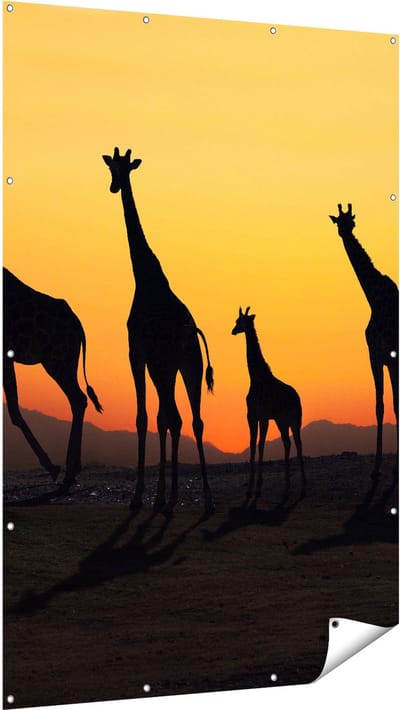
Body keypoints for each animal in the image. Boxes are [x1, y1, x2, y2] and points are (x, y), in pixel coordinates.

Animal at [3, 267, 103, 486]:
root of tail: (78, 326)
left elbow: (14, 411)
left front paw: (51, 466)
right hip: (65, 362)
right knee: (78, 399)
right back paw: (74, 467)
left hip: (57, 361)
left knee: (78, 398)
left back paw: (69, 469)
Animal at [102, 146, 214, 513]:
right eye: (112, 167)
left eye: (123, 168)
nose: (114, 186)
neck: (143, 276)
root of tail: (190, 332)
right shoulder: (155, 361)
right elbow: (160, 418)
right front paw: (157, 494)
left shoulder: (136, 353)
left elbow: (143, 418)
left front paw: (139, 496)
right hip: (187, 365)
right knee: (191, 419)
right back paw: (201, 498)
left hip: (167, 366)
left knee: (174, 417)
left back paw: (173, 496)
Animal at [232, 307, 305, 500]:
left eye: (239, 321)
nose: (233, 331)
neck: (256, 377)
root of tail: (297, 399)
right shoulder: (260, 417)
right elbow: (258, 444)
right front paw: (256, 486)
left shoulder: (254, 416)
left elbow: (255, 444)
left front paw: (252, 487)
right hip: (289, 421)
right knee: (295, 443)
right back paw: (300, 485)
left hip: (286, 420)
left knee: (291, 443)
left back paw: (289, 487)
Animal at [329, 203, 399, 477]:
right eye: (341, 222)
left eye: (352, 222)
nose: (346, 233)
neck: (374, 298)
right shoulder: (380, 358)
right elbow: (384, 406)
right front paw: (378, 469)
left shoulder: (383, 356)